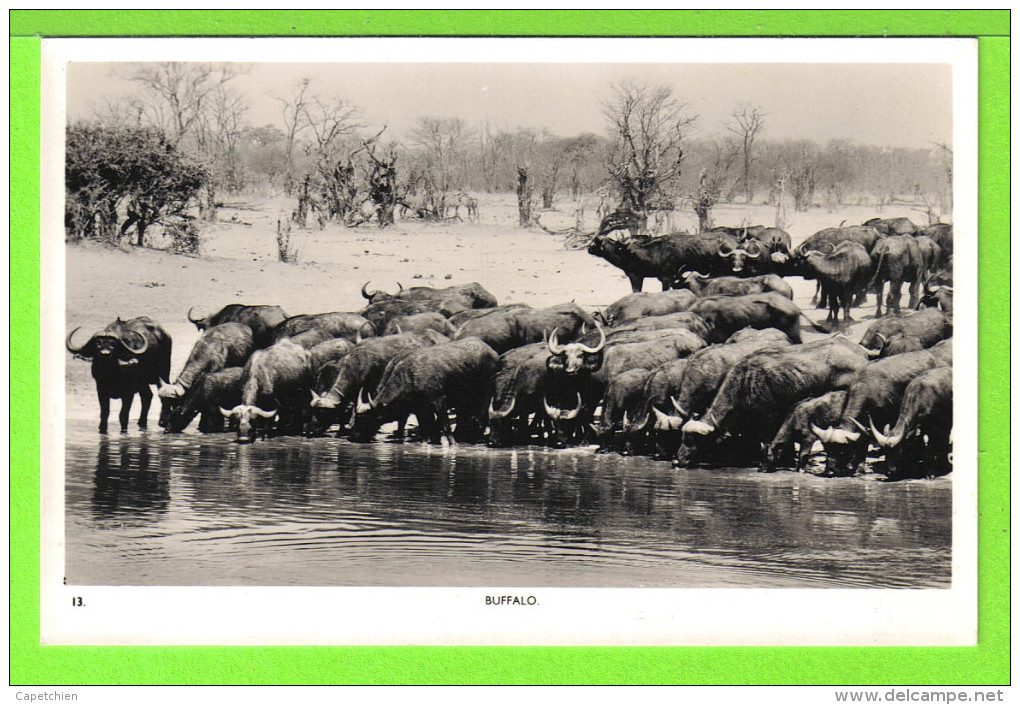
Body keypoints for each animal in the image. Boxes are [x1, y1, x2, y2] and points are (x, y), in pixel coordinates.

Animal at [352, 336, 499, 440]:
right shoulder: (419, 408)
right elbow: (426, 430)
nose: (354, 436)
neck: (409, 375)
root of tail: (492, 352)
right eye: (355, 418)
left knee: (480, 420)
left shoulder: (439, 401)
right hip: (463, 402)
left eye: (366, 418)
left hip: (485, 395)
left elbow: (445, 428)